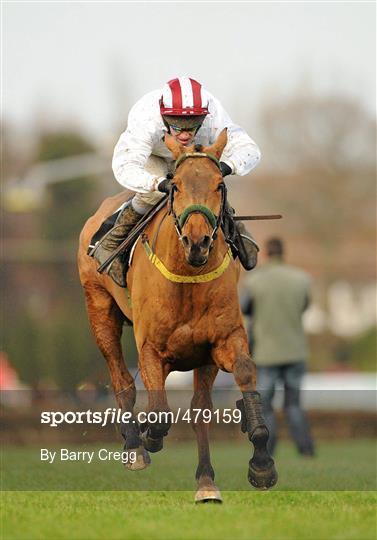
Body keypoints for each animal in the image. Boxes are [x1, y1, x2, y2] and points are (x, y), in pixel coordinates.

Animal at [77, 130, 276, 502]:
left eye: (219, 185)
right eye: (177, 186)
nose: (197, 242)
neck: (187, 275)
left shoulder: (219, 343)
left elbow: (237, 379)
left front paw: (261, 463)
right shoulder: (151, 350)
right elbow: (158, 415)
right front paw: (147, 438)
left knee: (199, 408)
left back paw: (206, 481)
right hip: (99, 309)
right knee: (122, 380)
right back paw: (134, 447)